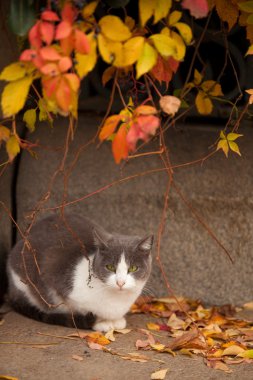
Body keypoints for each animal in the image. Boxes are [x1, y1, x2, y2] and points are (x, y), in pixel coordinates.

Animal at [5, 214, 152, 332]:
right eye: (110, 267)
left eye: (133, 268)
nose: (120, 282)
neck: (116, 299)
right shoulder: (57, 278)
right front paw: (101, 323)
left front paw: (116, 321)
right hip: (22, 277)